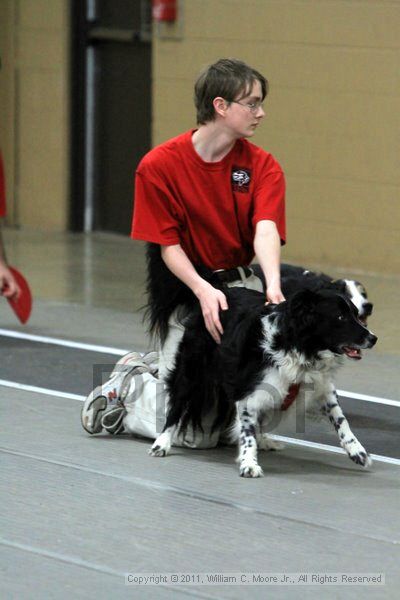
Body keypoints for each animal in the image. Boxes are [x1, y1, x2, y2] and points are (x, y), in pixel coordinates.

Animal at [150, 286, 378, 478]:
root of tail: (218, 293)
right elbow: (247, 433)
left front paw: (357, 451)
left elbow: (340, 419)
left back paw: (265, 440)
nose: (373, 338)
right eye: (340, 317)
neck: (299, 346)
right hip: (192, 372)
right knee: (177, 406)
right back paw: (162, 443)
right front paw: (249, 463)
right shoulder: (249, 396)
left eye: (356, 315)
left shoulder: (322, 386)